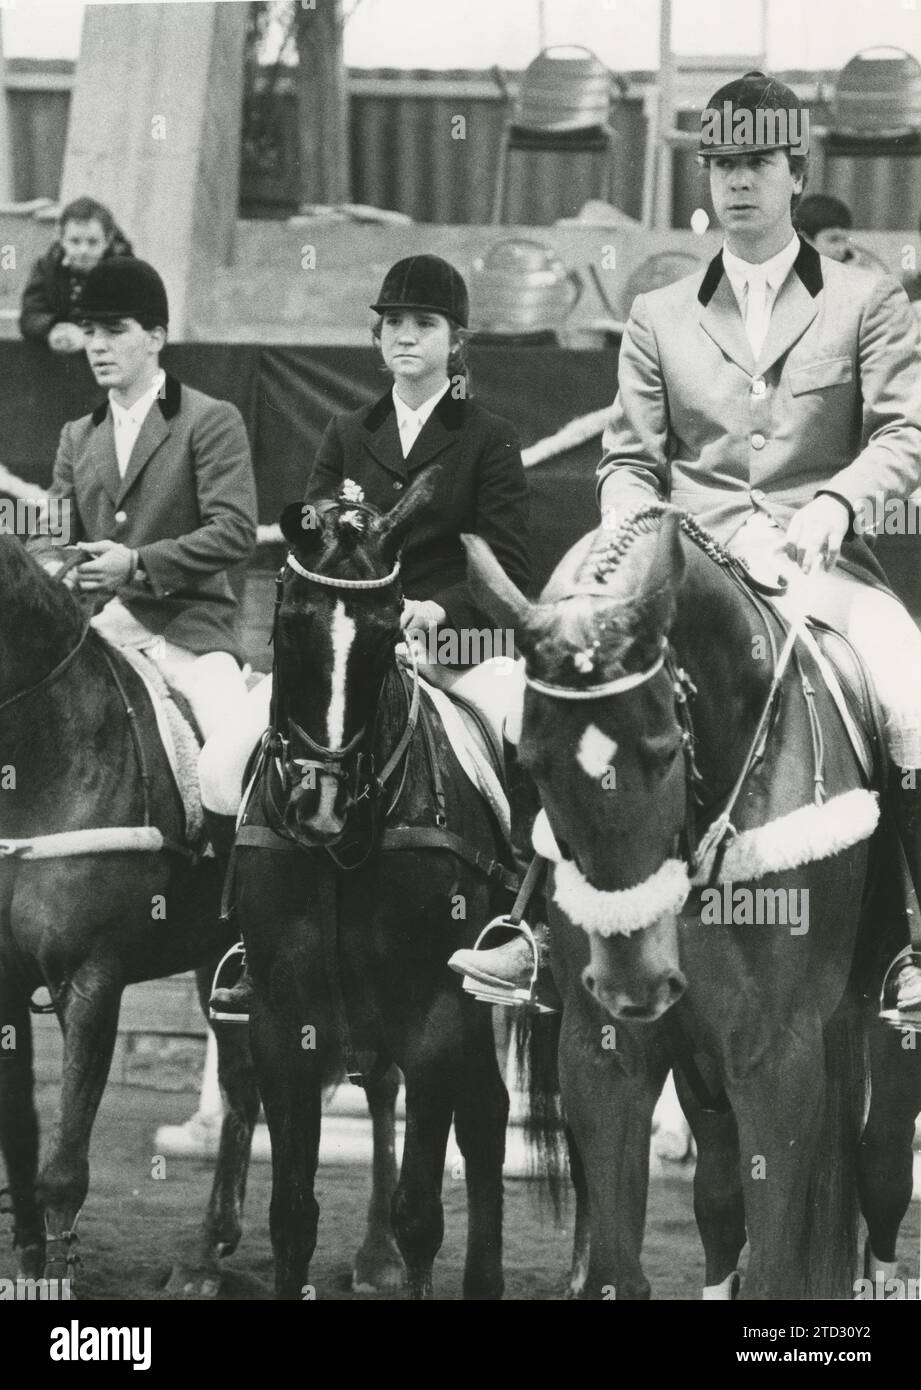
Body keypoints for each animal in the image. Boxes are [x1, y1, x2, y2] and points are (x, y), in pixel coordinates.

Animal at [0, 536, 402, 1295]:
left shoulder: (91, 981)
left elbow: (63, 1164)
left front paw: (59, 1274)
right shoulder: (4, 988)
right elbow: (22, 1140)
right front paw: (30, 1266)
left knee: (385, 1080)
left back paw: (380, 1257)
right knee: (243, 1090)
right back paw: (207, 1251)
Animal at [234, 480, 550, 1301]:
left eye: (386, 634)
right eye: (291, 623)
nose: (320, 804)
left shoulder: (433, 1014)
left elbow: (418, 1215)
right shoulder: (280, 1018)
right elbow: (291, 1213)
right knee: (487, 1114)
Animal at [463, 511, 921, 1301]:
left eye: (662, 750)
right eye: (530, 764)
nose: (635, 983)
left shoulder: (775, 1059)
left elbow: (775, 1269)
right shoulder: (605, 1054)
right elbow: (620, 1268)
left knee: (883, 1169)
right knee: (718, 1199)